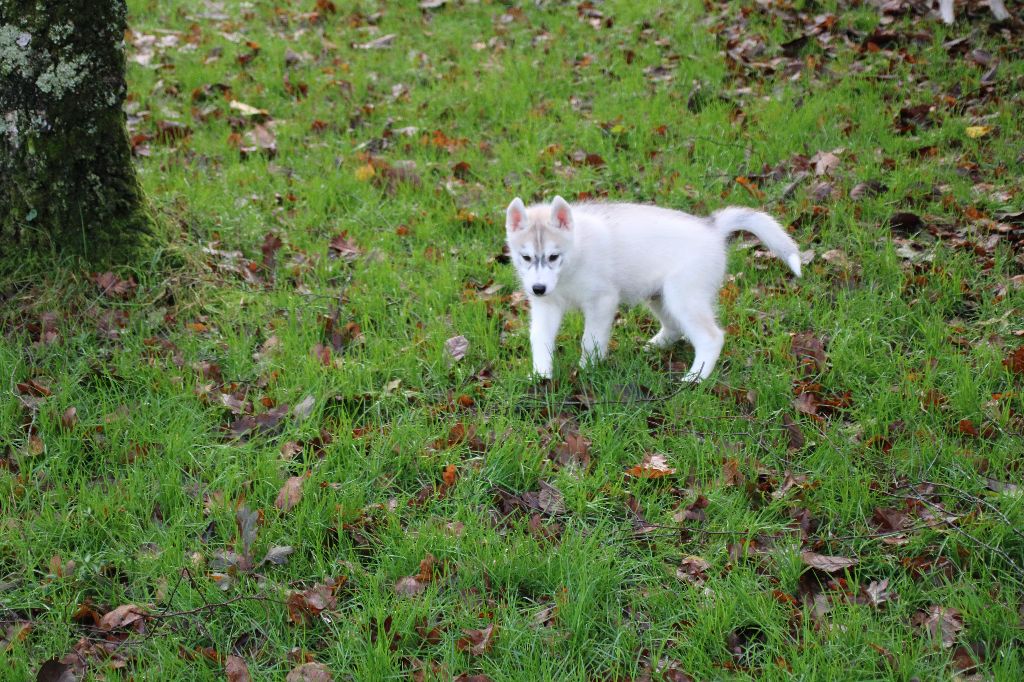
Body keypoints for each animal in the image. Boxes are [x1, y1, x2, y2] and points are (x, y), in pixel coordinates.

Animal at [507, 196, 802, 382]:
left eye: (553, 256)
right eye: (526, 257)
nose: (538, 288)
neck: (573, 258)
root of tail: (712, 227)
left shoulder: (602, 301)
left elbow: (590, 340)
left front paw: (586, 369)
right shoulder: (546, 306)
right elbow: (540, 339)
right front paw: (541, 375)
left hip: (682, 297)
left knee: (711, 337)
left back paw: (695, 378)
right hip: (659, 296)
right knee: (674, 328)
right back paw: (654, 347)